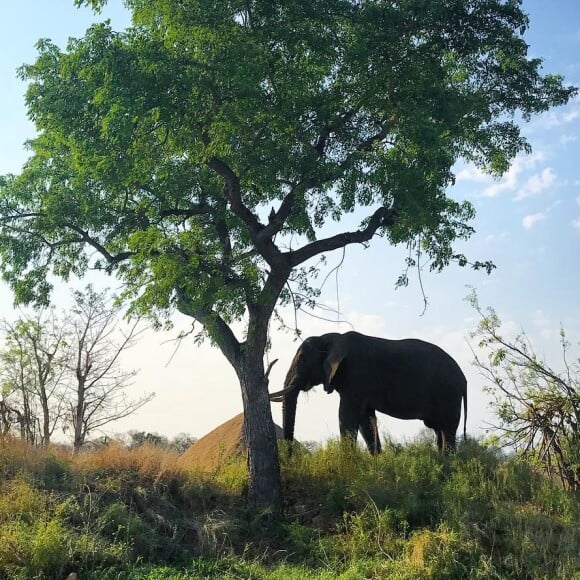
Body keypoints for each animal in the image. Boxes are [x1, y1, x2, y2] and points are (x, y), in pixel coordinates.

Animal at [270, 330, 466, 454]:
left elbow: (346, 417)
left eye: (302, 360)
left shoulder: (356, 376)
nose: (290, 457)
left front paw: (347, 463)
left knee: (447, 430)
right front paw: (376, 463)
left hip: (449, 394)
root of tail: (464, 379)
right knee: (438, 430)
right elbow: (366, 421)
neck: (330, 337)